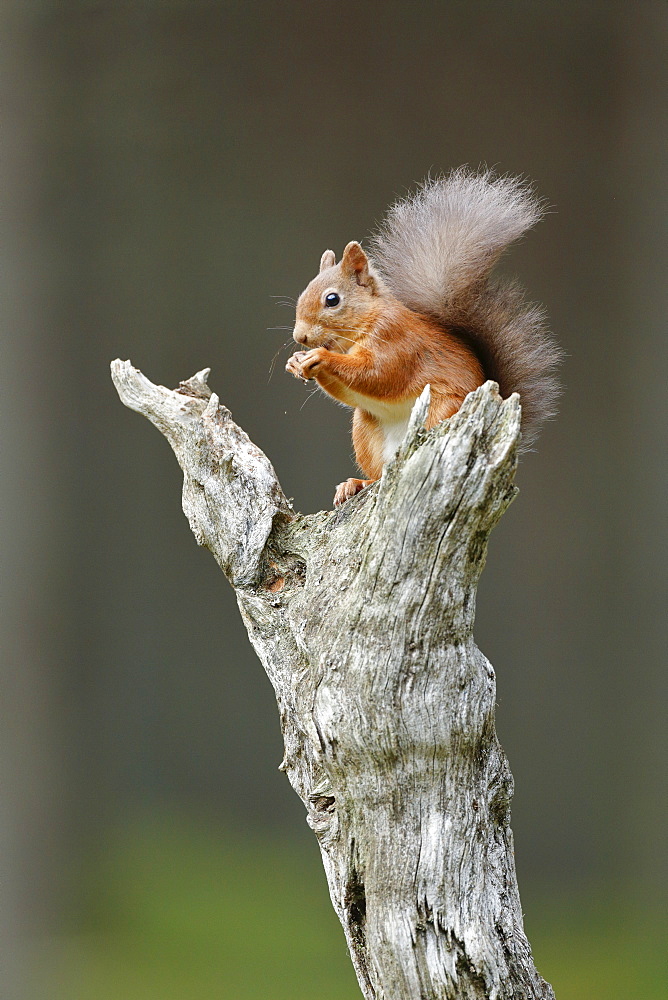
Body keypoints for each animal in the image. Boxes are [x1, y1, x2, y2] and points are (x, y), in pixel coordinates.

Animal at [284, 169, 560, 508]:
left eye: (332, 300)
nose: (300, 336)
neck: (362, 326)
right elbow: (351, 391)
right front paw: (296, 362)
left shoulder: (396, 340)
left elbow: (379, 374)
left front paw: (320, 358)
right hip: (366, 430)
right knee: (379, 474)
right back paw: (356, 484)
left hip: (442, 412)